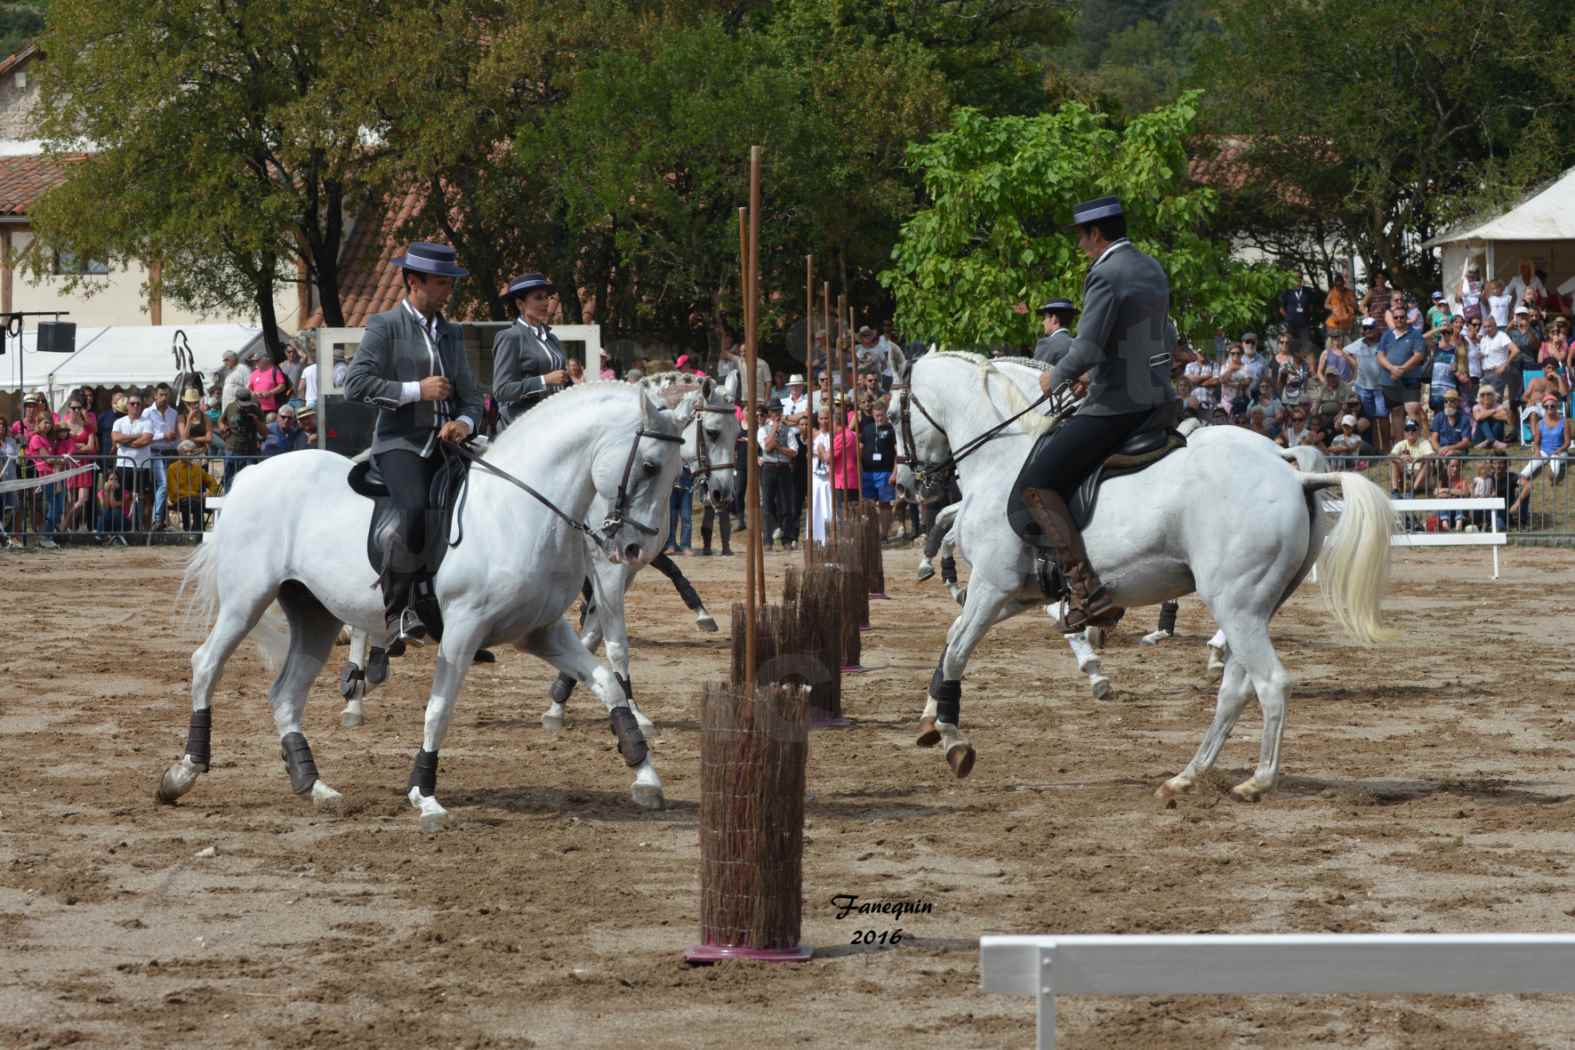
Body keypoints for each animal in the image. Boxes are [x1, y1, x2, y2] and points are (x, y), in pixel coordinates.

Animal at [894, 352, 1398, 805]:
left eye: (893, 411)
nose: (905, 483)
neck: (1002, 455)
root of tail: (1293, 474)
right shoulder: (1015, 594)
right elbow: (954, 638)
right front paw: (931, 717)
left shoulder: (993, 585)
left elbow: (958, 648)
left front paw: (953, 739)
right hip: (1254, 608)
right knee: (1236, 690)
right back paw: (1187, 777)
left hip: (1235, 604)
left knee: (1271, 683)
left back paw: (1256, 782)